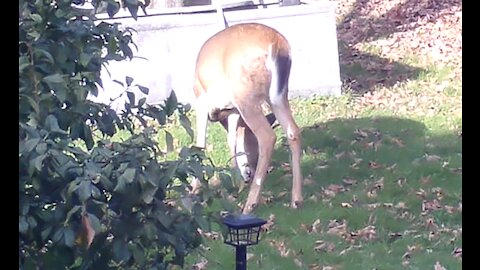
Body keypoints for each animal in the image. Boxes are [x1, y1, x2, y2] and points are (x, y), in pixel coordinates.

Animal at [192, 22, 304, 213]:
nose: (249, 173)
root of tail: (277, 45)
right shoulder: (233, 110)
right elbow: (231, 139)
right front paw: (235, 182)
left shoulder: (202, 99)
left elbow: (200, 144)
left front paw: (193, 189)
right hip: (277, 95)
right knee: (293, 131)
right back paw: (296, 200)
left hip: (245, 94)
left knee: (267, 136)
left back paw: (250, 204)